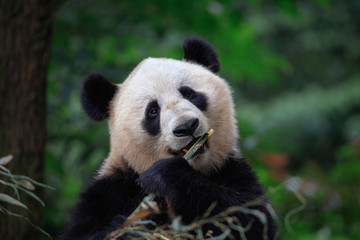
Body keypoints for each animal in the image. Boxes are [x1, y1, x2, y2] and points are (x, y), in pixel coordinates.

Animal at [59, 37, 276, 240]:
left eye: (189, 94)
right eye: (153, 111)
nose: (187, 126)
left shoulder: (232, 171)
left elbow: (249, 220)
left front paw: (165, 175)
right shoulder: (110, 192)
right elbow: (83, 230)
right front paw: (121, 230)